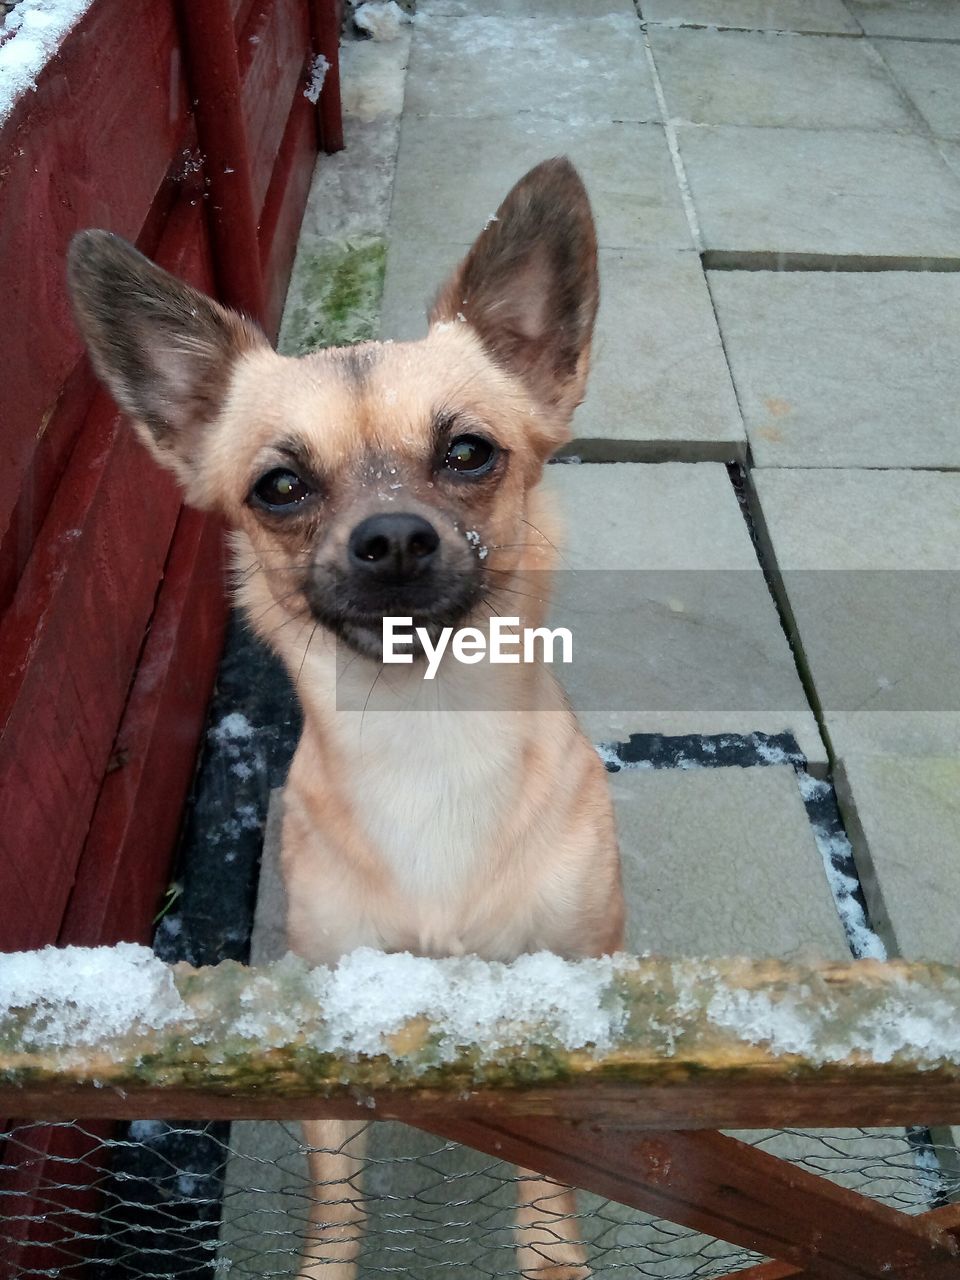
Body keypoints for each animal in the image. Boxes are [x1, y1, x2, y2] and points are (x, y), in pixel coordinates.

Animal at [67, 154, 624, 1274]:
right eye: (279, 486)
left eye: (469, 453)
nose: (394, 538)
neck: (427, 732)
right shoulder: (333, 1035)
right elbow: (339, 1199)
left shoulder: (556, 1001)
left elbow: (552, 1187)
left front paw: (554, 1254)